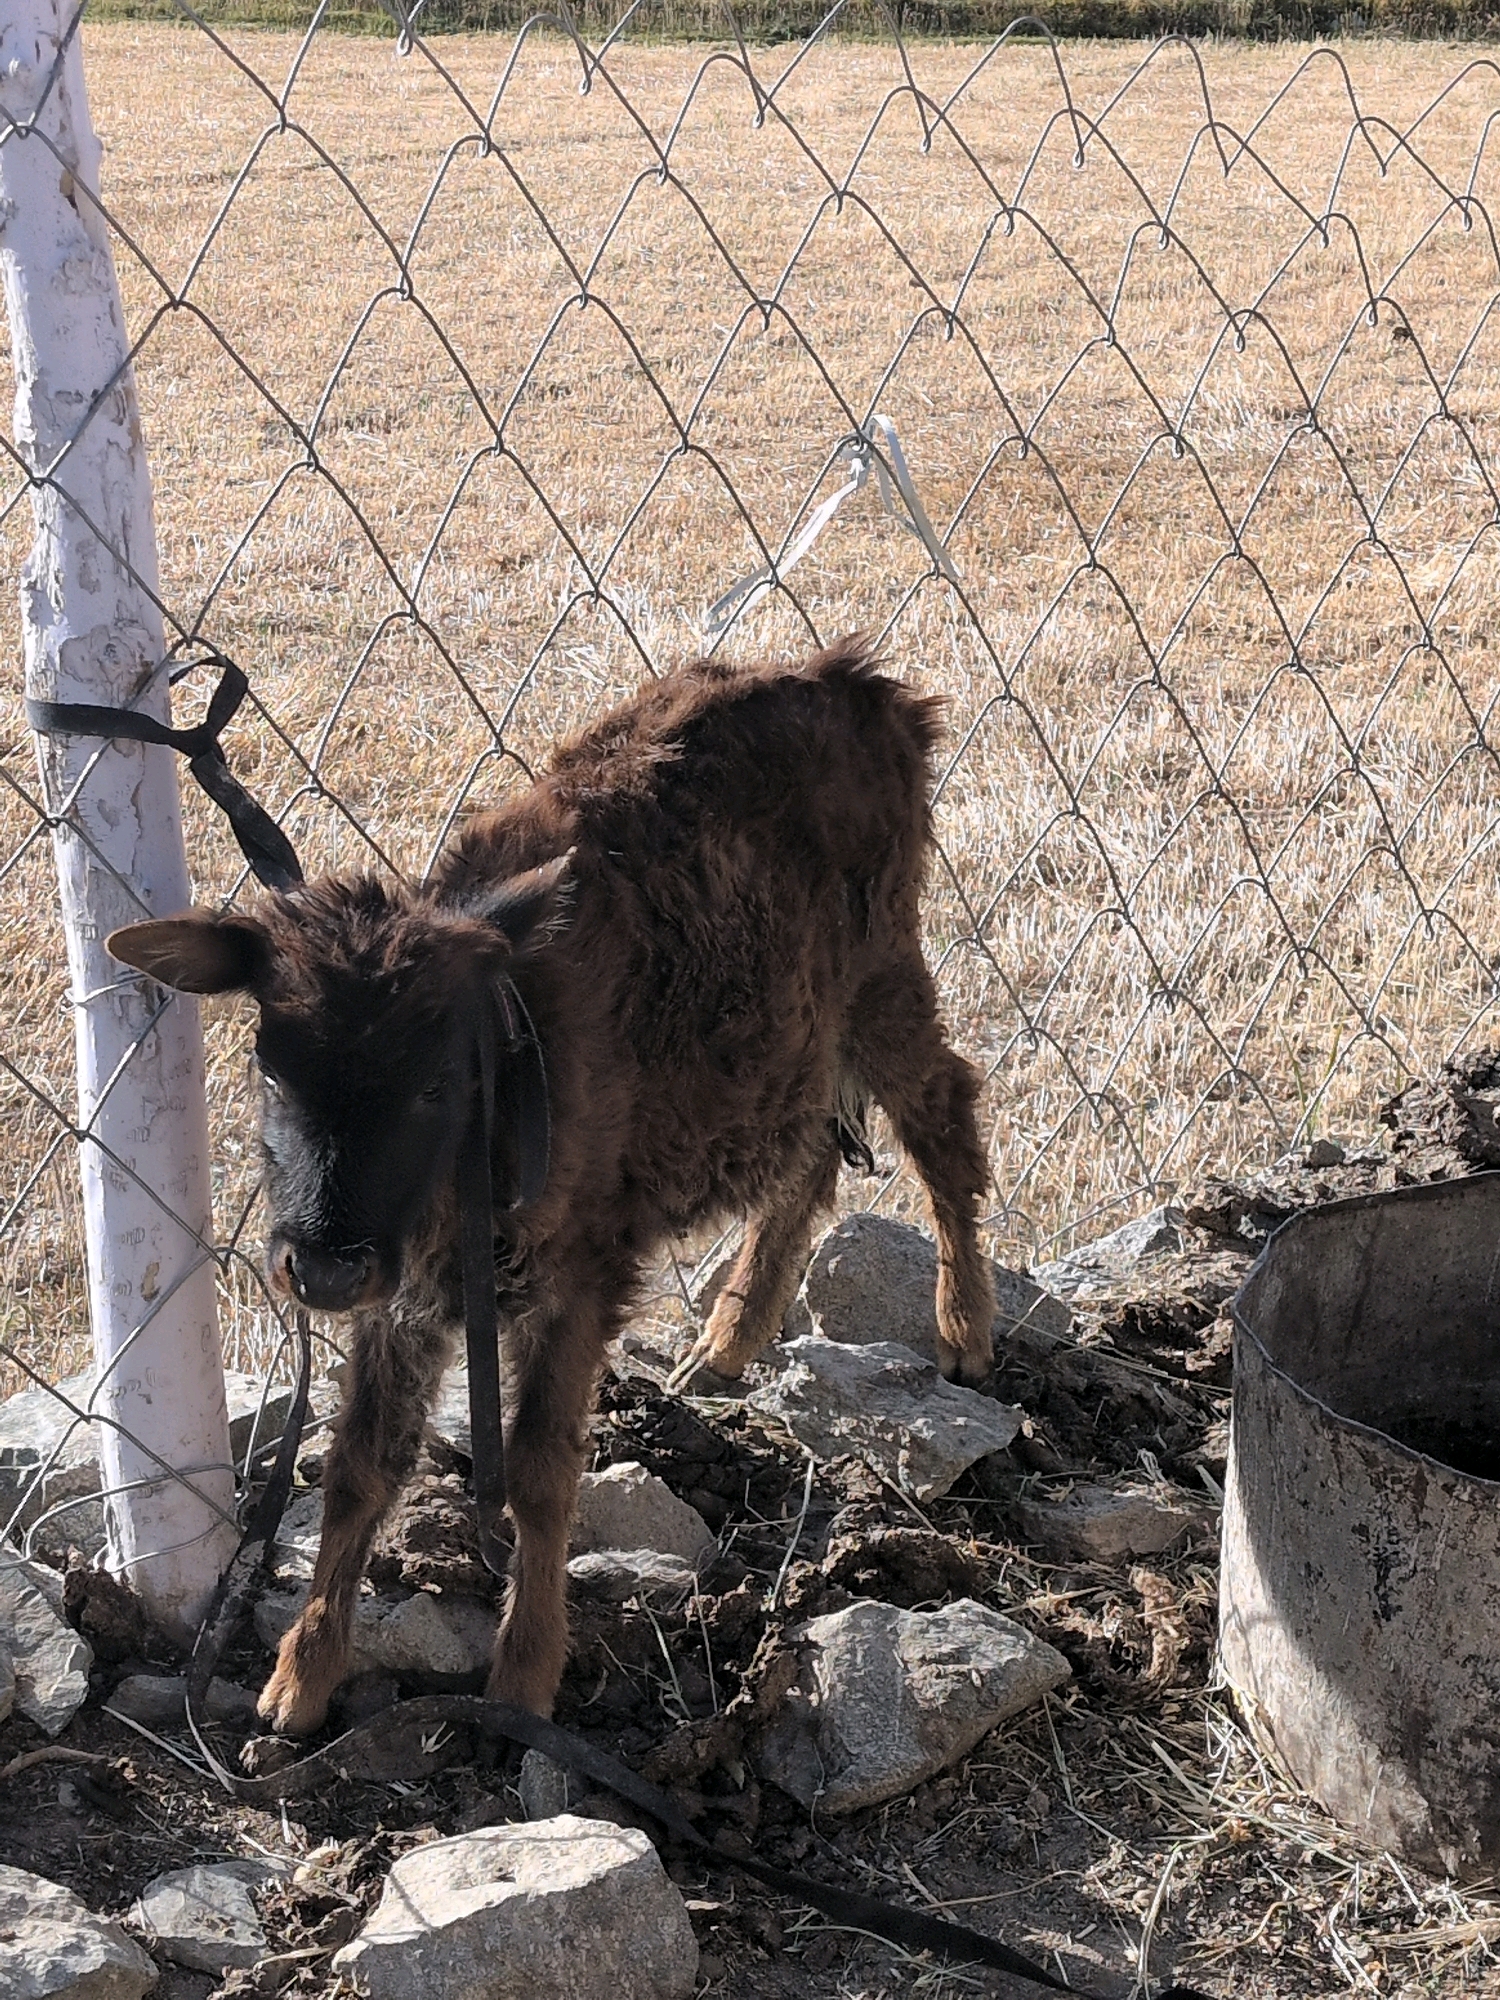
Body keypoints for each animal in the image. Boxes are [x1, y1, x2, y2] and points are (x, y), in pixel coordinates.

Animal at [107, 640, 996, 1735]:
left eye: (440, 1077)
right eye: (271, 1067)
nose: (320, 1267)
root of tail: (866, 686)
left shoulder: (580, 1276)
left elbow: (537, 1469)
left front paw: (525, 1676)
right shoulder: (406, 1296)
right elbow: (361, 1462)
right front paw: (298, 1680)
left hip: (884, 978)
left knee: (942, 1112)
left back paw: (964, 1330)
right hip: (795, 1041)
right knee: (811, 1156)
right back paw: (727, 1340)